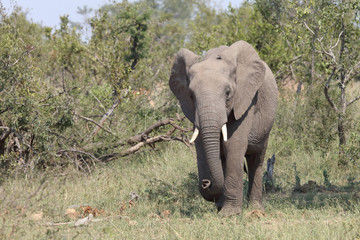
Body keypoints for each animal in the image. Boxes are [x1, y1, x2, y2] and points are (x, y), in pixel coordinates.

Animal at [169, 40, 278, 217]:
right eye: (191, 96)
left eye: (227, 93)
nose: (206, 182)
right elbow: (201, 147)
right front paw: (222, 208)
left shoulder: (246, 100)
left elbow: (233, 145)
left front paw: (229, 214)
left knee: (256, 158)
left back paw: (255, 209)